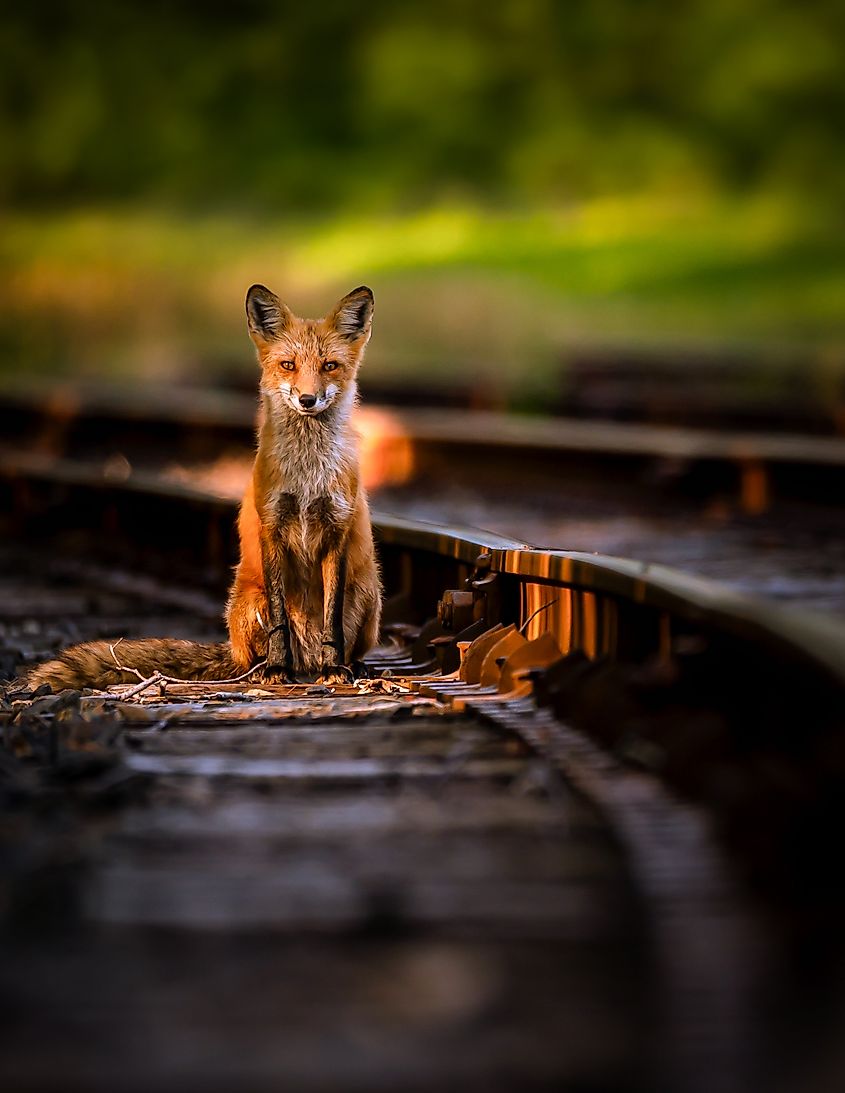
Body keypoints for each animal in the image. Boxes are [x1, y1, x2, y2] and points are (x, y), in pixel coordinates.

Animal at [26, 285, 382, 690]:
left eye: (330, 366)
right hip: (247, 603)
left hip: (368, 597)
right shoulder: (271, 526)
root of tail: (304, 660)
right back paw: (269, 668)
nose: (307, 400)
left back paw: (350, 666)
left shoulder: (337, 528)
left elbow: (331, 620)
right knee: (254, 656)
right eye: (289, 365)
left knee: (344, 639)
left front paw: (334, 666)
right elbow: (279, 620)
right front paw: (278, 669)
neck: (307, 474)